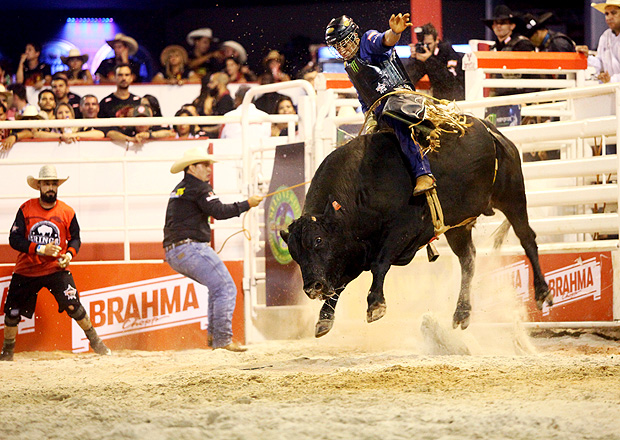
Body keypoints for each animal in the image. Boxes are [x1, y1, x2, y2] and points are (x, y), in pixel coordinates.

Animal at [280, 116, 552, 336]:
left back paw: (542, 292)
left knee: (527, 239)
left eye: (318, 240)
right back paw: (462, 312)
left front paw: (375, 304)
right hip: (457, 226)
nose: (312, 288)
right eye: (294, 253)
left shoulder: (402, 231)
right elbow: (341, 283)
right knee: (468, 259)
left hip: (512, 195)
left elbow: (379, 264)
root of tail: (491, 130)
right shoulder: (354, 252)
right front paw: (324, 319)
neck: (362, 188)